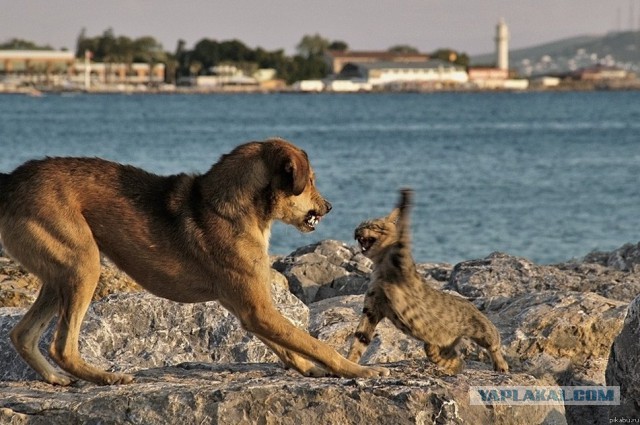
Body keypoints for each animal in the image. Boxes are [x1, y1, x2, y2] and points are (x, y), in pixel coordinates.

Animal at [0, 137, 388, 382]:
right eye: (309, 181)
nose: (329, 207)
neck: (233, 208)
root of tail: (11, 182)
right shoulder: (258, 310)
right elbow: (315, 344)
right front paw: (359, 371)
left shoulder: (249, 311)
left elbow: (289, 349)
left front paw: (310, 371)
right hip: (84, 265)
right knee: (61, 346)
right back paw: (105, 378)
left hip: (60, 275)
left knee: (22, 334)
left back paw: (55, 379)